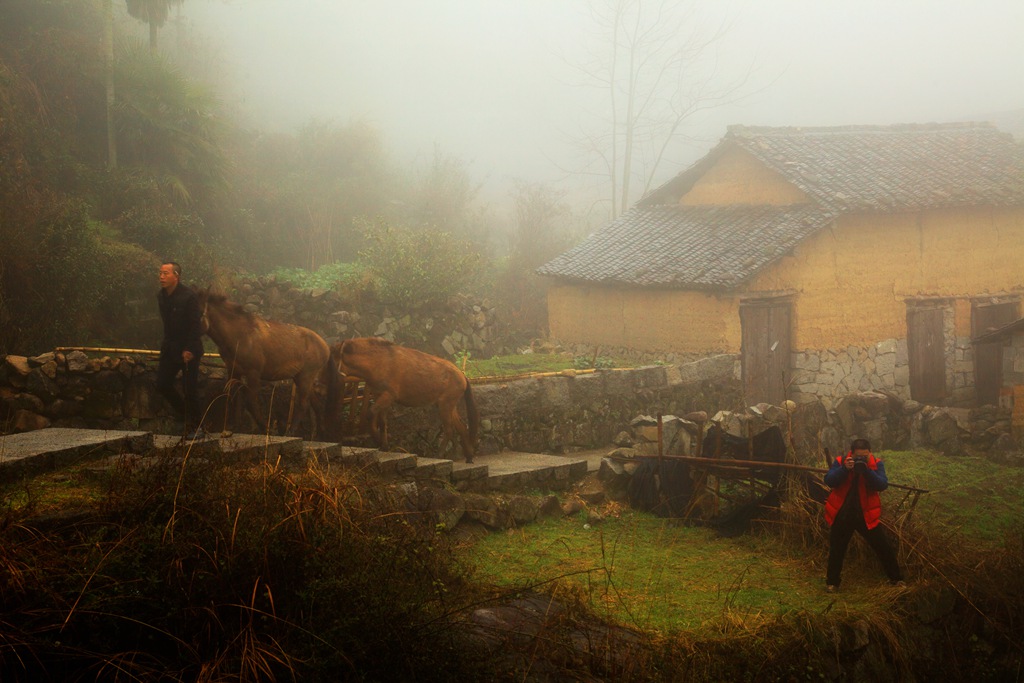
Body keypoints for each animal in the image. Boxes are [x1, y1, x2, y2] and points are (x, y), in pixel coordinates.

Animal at [197, 290, 342, 438]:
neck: (240, 335)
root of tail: (326, 346)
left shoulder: (253, 373)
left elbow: (250, 401)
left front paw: (266, 428)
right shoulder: (234, 370)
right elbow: (234, 397)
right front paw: (232, 427)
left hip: (306, 377)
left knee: (303, 404)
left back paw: (291, 432)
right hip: (301, 378)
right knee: (316, 405)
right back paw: (321, 434)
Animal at [333, 337, 481, 464]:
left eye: (331, 361)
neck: (379, 362)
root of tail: (462, 375)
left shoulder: (389, 395)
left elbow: (370, 414)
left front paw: (377, 440)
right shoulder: (379, 395)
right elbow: (382, 421)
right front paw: (384, 446)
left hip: (445, 405)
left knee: (449, 430)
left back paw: (440, 455)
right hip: (448, 405)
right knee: (461, 427)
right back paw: (468, 456)